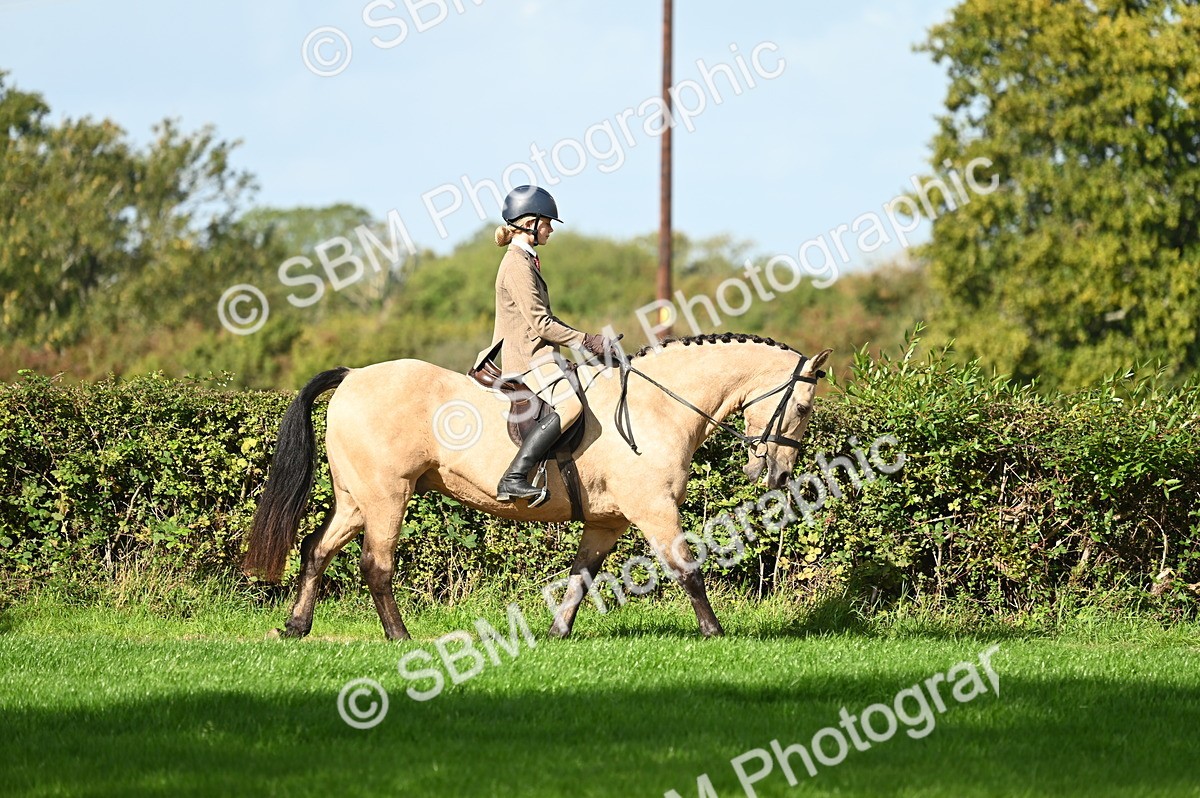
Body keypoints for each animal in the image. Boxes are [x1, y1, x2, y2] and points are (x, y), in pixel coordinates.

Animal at [242, 333, 831, 640]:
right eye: (803, 408)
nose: (777, 476)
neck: (657, 406)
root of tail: (354, 375)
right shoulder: (654, 508)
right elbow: (687, 569)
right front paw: (714, 634)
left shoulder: (606, 522)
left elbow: (580, 579)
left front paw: (556, 635)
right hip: (388, 496)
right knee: (376, 565)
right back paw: (399, 637)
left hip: (355, 499)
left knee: (317, 548)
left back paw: (296, 626)